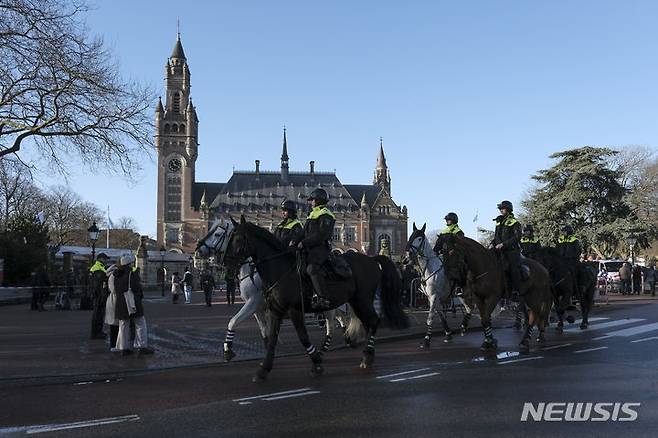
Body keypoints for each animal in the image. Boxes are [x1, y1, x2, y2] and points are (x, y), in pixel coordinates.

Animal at [193, 217, 352, 362]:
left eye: (217, 234)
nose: (198, 250)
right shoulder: (258, 309)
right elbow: (264, 331)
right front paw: (267, 350)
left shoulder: (253, 303)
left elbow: (233, 321)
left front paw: (227, 349)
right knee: (341, 320)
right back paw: (345, 340)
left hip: (329, 305)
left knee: (331, 325)